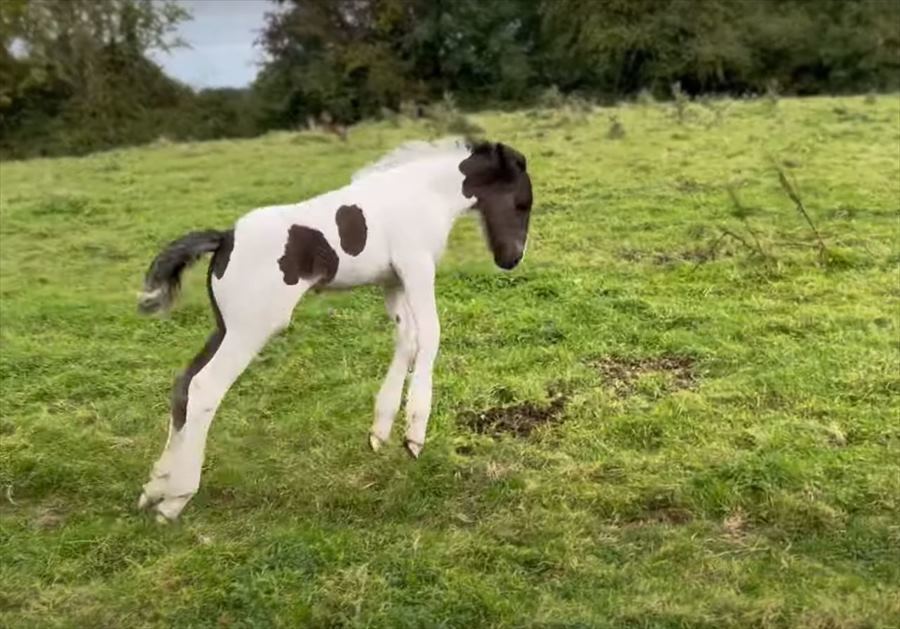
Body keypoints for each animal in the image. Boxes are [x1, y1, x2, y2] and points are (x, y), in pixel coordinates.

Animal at [136, 139, 532, 520]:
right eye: (521, 203)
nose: (511, 259)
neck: (423, 192)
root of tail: (224, 239)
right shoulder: (416, 266)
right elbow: (430, 334)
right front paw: (414, 436)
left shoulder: (392, 280)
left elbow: (405, 339)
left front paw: (380, 432)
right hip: (251, 329)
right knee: (205, 387)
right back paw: (175, 500)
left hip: (225, 327)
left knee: (185, 384)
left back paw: (154, 487)